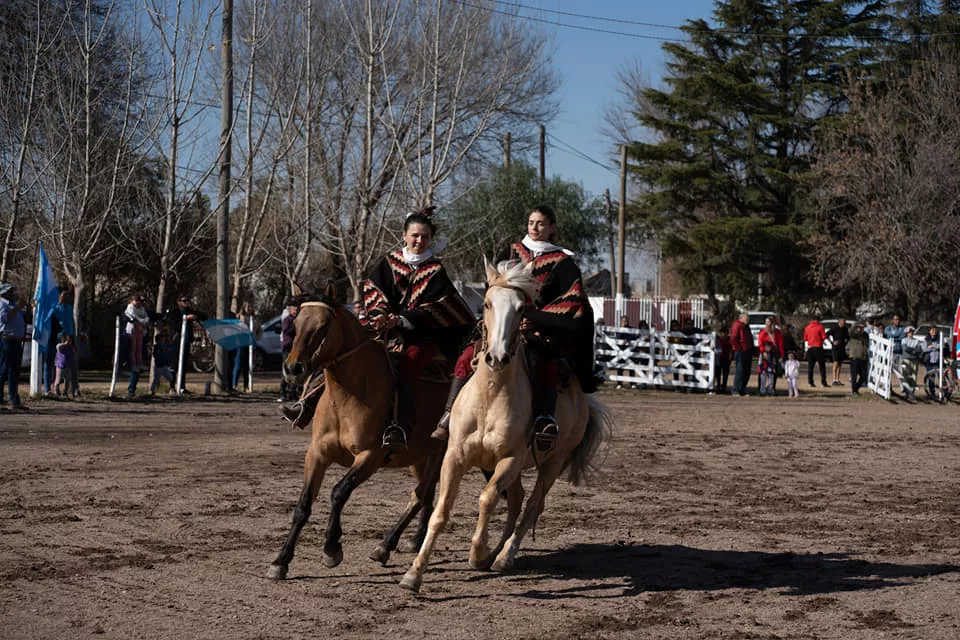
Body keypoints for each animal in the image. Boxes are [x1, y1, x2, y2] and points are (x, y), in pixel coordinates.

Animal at [266, 292, 448, 580]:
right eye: (295, 325)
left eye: (322, 327)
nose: (293, 368)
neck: (347, 397)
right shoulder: (317, 454)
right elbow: (303, 505)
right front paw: (281, 560)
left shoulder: (369, 456)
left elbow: (339, 492)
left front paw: (331, 549)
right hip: (421, 457)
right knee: (425, 497)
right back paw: (409, 541)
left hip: (443, 453)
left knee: (420, 496)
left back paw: (386, 545)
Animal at [399, 260, 613, 592]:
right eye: (487, 303)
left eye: (521, 309)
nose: (496, 357)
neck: (490, 396)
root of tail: (583, 401)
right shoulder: (454, 457)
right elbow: (441, 512)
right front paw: (414, 572)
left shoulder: (509, 460)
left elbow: (487, 499)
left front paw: (477, 552)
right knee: (516, 500)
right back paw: (496, 552)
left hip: (554, 462)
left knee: (532, 506)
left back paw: (503, 556)